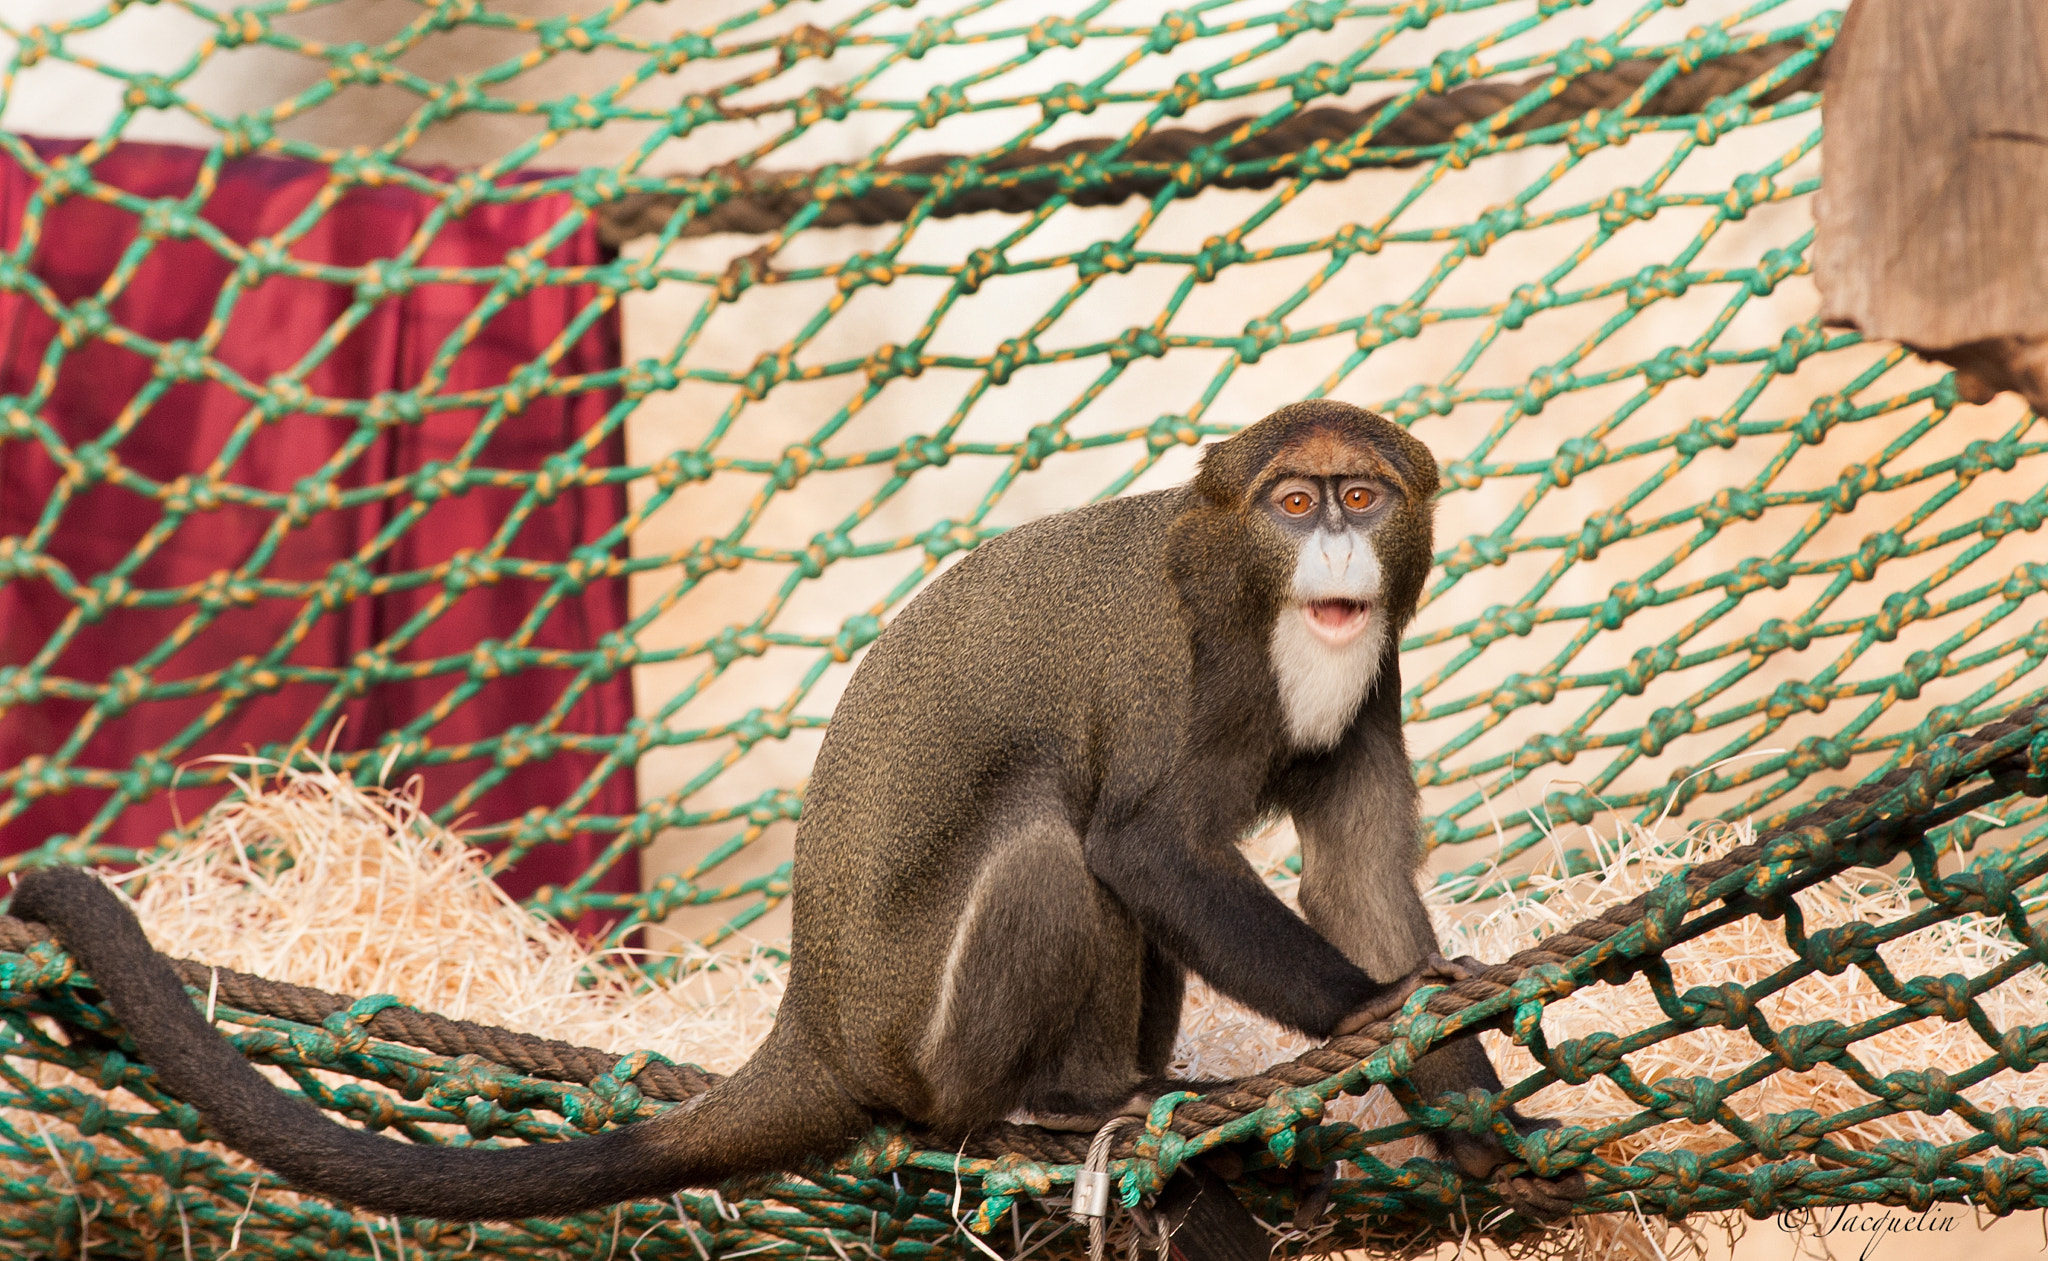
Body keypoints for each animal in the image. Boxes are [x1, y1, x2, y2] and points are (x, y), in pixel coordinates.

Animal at [10, 399, 1575, 1231]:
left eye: (1365, 494)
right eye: (1295, 497)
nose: (1336, 543)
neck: (1252, 603)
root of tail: (813, 1028)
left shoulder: (1371, 689)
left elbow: (1359, 890)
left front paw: (1474, 1115)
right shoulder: (1177, 673)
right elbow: (1143, 847)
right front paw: (1374, 1016)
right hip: (924, 1034)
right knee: (1051, 858)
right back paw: (1070, 1105)